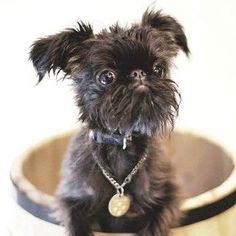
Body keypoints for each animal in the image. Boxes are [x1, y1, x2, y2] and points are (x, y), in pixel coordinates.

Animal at [30, 8, 188, 236]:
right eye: (107, 76)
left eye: (158, 69)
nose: (139, 73)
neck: (121, 143)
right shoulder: (70, 198)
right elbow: (75, 221)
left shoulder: (169, 194)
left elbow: (156, 221)